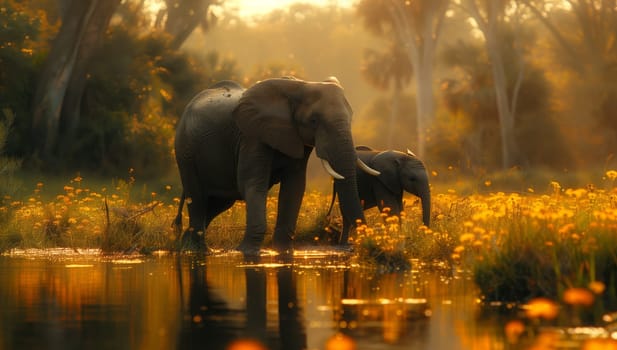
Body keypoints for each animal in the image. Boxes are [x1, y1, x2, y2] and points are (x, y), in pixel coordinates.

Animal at [172, 78, 376, 254]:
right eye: (314, 121)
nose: (354, 247)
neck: (300, 86)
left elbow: (294, 187)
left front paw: (283, 251)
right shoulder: (252, 136)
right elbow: (252, 183)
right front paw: (246, 252)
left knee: (217, 202)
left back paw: (187, 244)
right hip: (185, 151)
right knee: (197, 198)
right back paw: (197, 250)